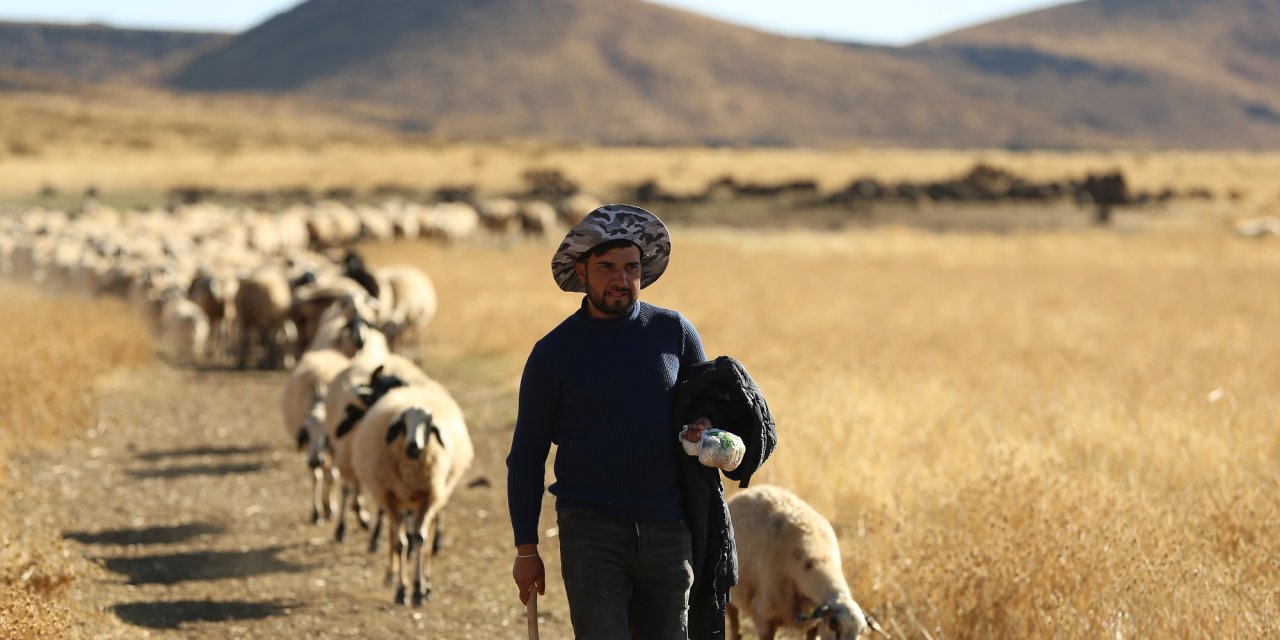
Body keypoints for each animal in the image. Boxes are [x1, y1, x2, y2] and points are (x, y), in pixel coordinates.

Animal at [279, 350, 350, 524]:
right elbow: (315, 477)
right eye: (307, 433)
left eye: (327, 433)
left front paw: (330, 509)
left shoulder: (334, 447)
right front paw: (317, 513)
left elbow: (332, 477)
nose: (315, 461)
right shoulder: (309, 450)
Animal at [348, 378, 473, 604]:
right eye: (403, 423)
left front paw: (418, 589)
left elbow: (420, 541)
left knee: (426, 541)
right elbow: (400, 543)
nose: (414, 446)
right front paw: (401, 589)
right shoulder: (391, 500)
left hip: (433, 500)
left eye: (429, 424)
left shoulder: (428, 499)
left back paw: (427, 582)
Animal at [727, 483, 885, 640]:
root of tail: (754, 489)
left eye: (861, 632)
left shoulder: (815, 624)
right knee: (735, 627)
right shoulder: (765, 619)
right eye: (834, 627)